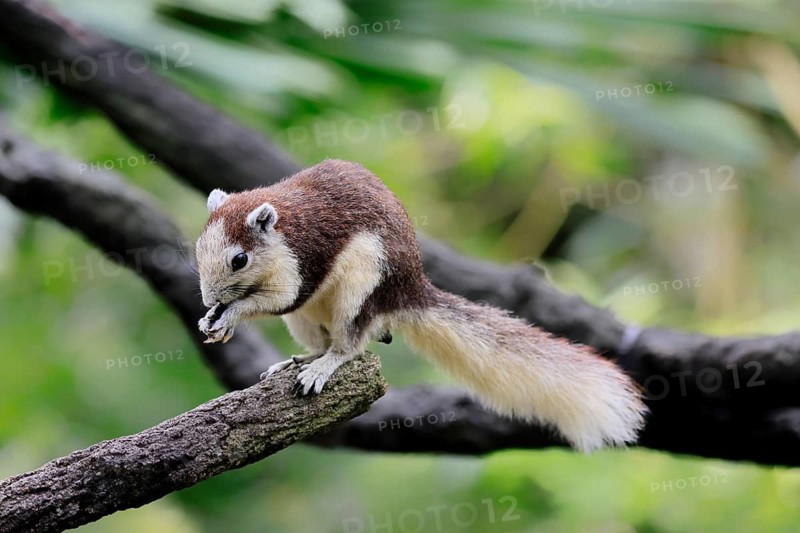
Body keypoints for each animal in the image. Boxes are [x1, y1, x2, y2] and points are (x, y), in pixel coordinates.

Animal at [195, 159, 647, 452]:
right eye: (198, 249)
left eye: (240, 259)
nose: (209, 299)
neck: (282, 232)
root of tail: (410, 291)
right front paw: (210, 319)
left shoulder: (300, 263)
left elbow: (279, 298)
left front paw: (229, 314)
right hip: (305, 321)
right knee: (321, 341)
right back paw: (300, 361)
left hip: (361, 287)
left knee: (349, 345)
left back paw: (324, 366)